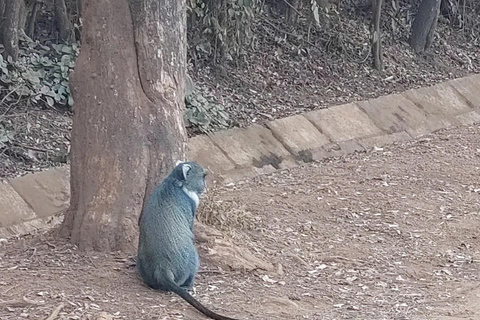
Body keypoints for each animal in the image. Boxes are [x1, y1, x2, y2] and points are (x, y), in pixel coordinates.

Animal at [137, 162, 238, 320]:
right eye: (203, 176)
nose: (205, 186)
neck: (175, 181)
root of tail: (162, 268)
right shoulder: (191, 204)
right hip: (190, 260)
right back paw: (189, 285)